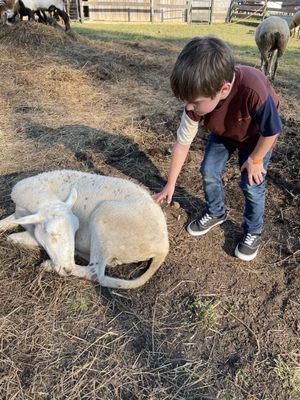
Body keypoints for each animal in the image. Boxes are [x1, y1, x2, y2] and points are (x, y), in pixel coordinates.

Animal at [0, 170, 169, 290]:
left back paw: (51, 265)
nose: (67, 268)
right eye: (52, 234)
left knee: (95, 273)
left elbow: (13, 238)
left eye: (76, 231)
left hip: (105, 219)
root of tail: (163, 247)